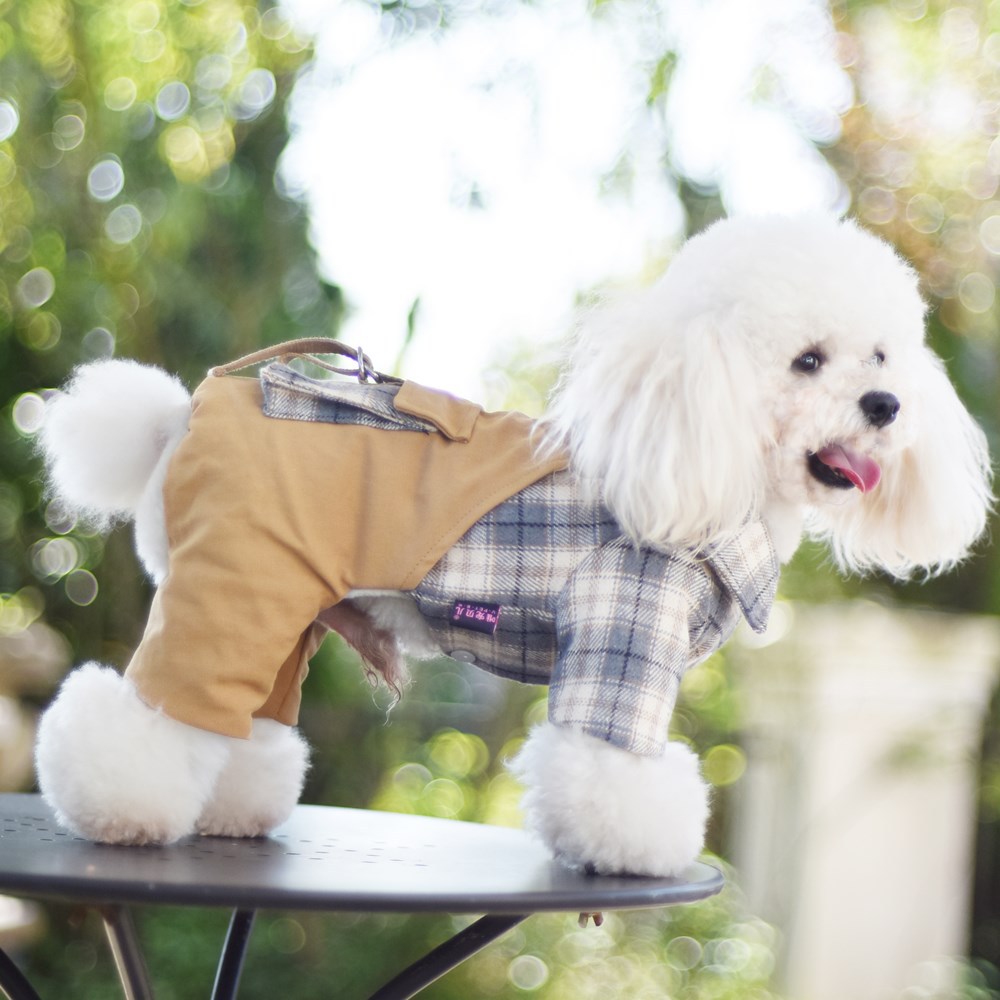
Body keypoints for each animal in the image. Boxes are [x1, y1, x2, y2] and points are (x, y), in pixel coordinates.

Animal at [33, 213, 992, 876]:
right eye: (807, 361)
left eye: (883, 357)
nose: (887, 407)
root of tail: (181, 417)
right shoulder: (622, 625)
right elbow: (606, 764)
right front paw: (636, 844)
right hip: (233, 584)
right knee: (151, 714)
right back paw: (118, 810)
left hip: (277, 606)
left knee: (242, 719)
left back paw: (231, 808)